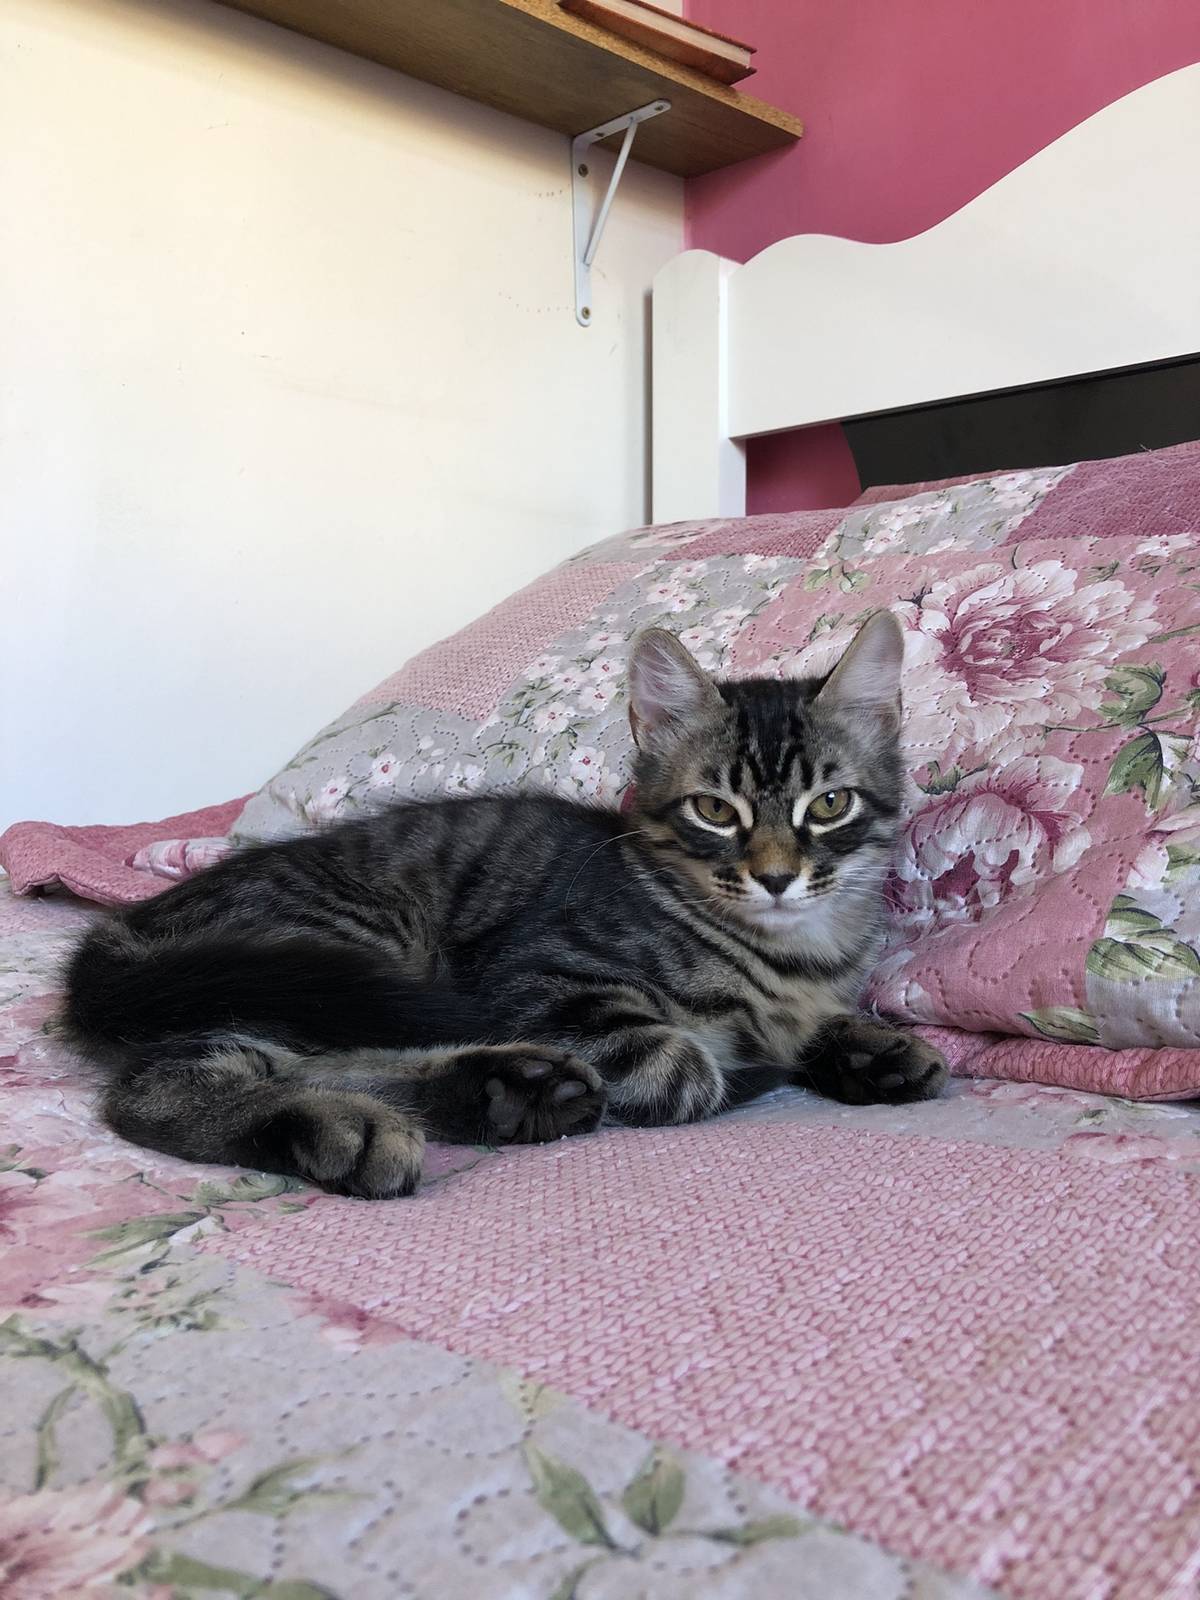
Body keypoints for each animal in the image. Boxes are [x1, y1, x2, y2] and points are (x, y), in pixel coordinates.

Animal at [63, 612, 946, 1199]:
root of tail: (125, 928)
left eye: (828, 805)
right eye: (714, 811)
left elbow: (813, 1025)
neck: (792, 953)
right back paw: (347, 1125)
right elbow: (684, 1064)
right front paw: (742, 1058)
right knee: (158, 1086)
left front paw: (872, 1047)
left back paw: (503, 1090)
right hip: (341, 947)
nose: (775, 876)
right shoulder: (542, 976)